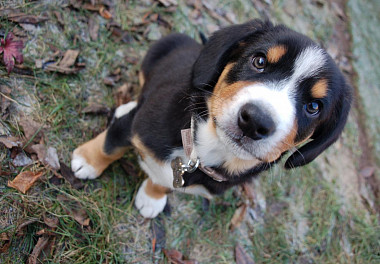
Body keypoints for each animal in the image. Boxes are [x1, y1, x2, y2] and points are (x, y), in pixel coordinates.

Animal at [72, 20, 354, 219]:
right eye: (259, 60)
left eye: (313, 107)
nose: (254, 121)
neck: (202, 152)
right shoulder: (135, 126)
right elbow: (109, 147)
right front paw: (87, 162)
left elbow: (168, 184)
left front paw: (152, 198)